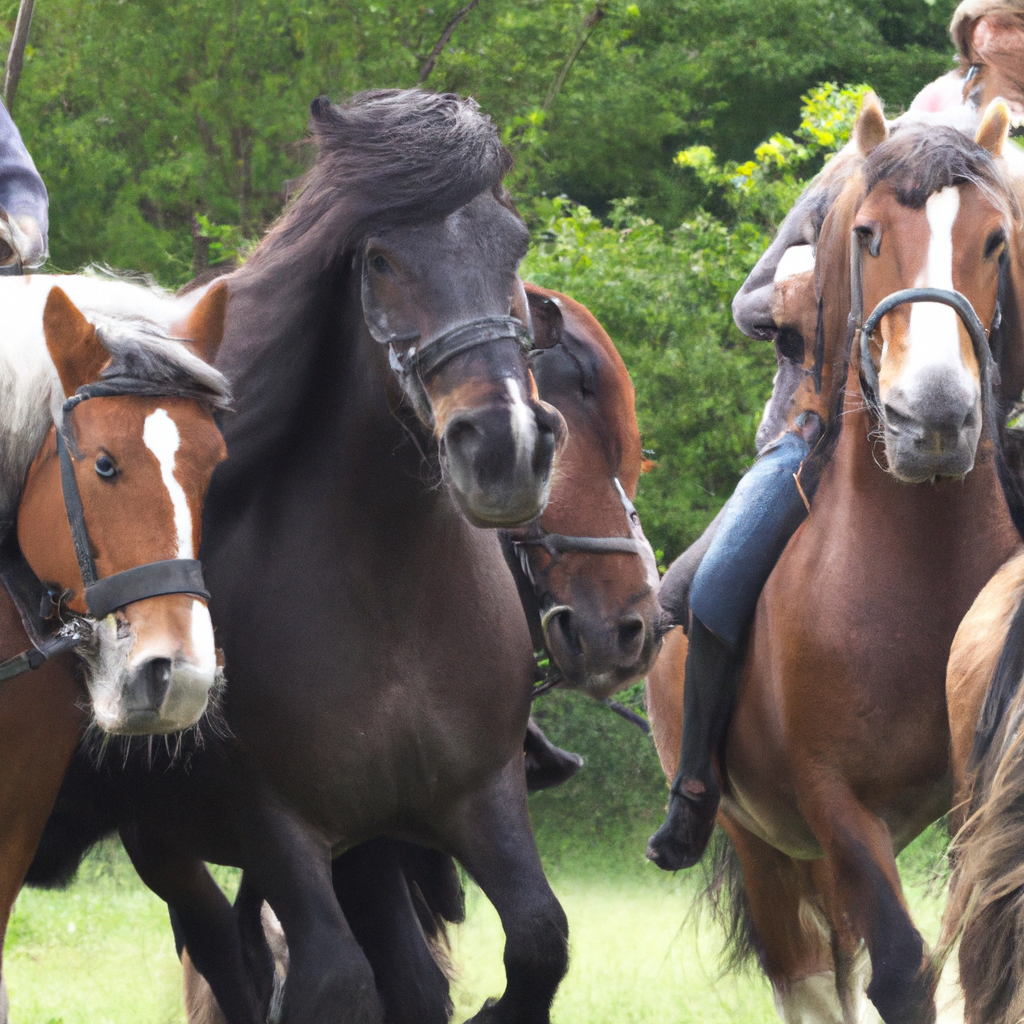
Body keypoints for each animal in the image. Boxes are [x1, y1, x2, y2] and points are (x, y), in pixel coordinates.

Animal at [25, 88, 663, 1024]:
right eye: (383, 260)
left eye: (509, 247)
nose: (504, 448)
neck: (385, 597)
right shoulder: (278, 823)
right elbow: (335, 980)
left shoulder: (465, 804)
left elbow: (534, 943)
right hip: (172, 845)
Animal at [647, 97, 1024, 1024]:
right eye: (867, 234)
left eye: (996, 241)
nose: (933, 419)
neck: (914, 568)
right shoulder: (836, 806)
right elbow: (903, 971)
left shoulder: (974, 800)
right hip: (762, 845)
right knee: (814, 974)